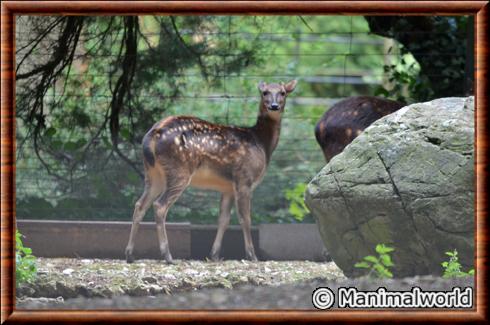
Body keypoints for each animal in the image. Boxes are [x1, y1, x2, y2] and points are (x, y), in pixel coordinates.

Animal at [124, 79, 296, 262]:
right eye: (265, 92)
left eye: (283, 92)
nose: (274, 105)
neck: (261, 143)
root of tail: (153, 134)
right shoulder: (244, 178)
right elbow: (245, 218)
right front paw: (252, 256)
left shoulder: (228, 188)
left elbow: (223, 220)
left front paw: (214, 255)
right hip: (179, 171)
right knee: (159, 206)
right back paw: (168, 256)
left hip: (153, 174)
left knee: (140, 205)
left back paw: (130, 254)